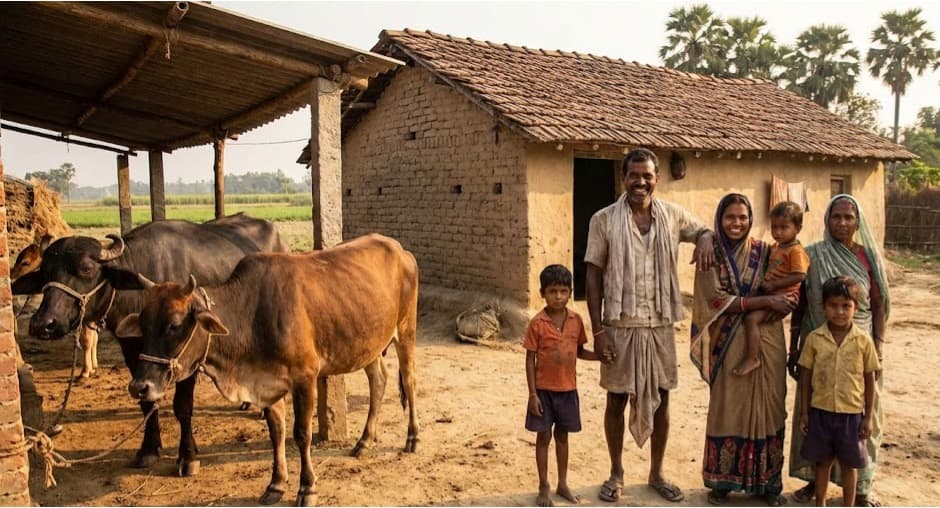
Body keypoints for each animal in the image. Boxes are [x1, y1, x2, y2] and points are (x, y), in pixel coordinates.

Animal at [11, 213, 287, 476]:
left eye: (87, 268)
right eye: (45, 272)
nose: (43, 323)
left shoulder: (187, 355)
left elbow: (182, 407)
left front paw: (188, 457)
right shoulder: (133, 352)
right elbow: (146, 403)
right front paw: (148, 449)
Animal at [117, 234, 419, 506]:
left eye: (175, 324)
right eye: (143, 322)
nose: (140, 386)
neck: (250, 314)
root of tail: (400, 249)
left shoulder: (305, 378)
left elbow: (302, 434)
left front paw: (307, 488)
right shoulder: (268, 384)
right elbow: (277, 432)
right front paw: (276, 484)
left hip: (405, 331)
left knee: (409, 380)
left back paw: (412, 438)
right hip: (369, 344)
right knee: (378, 380)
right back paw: (364, 441)